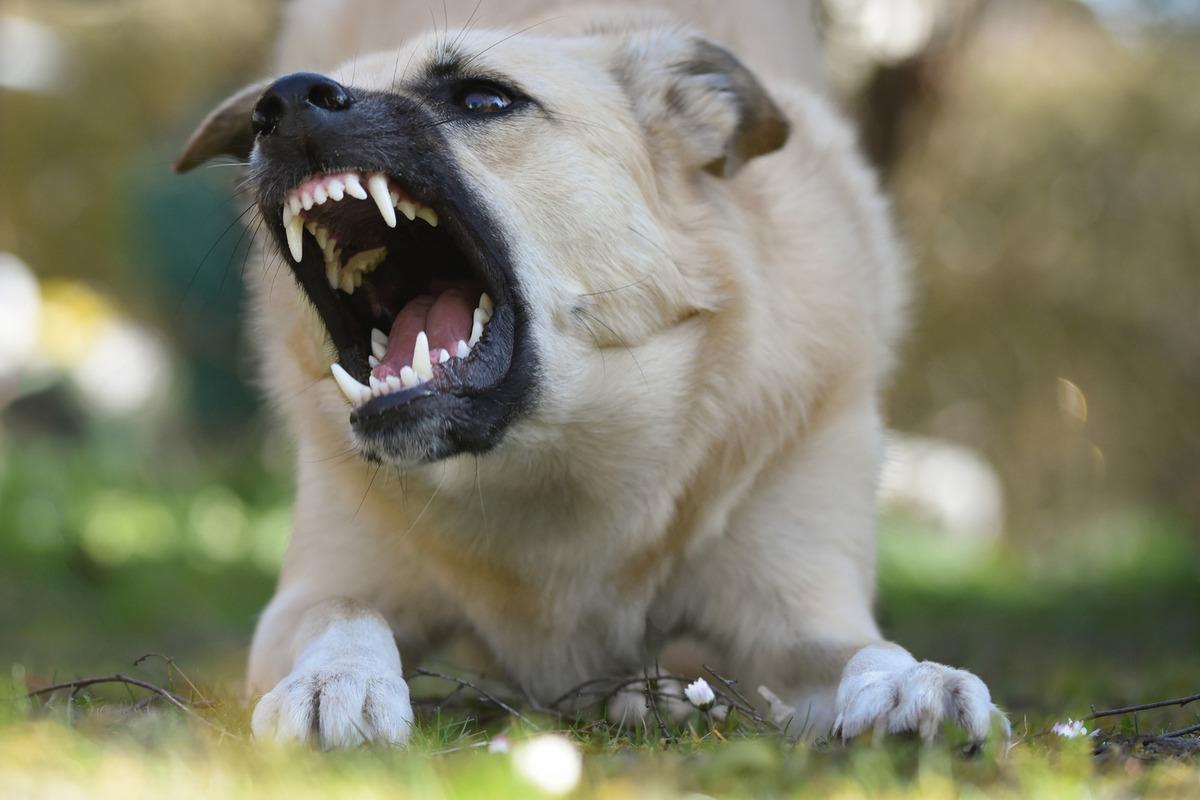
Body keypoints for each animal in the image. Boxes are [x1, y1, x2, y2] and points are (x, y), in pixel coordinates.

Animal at [177, 0, 1003, 753]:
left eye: (484, 99)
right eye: (266, 113)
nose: (281, 103)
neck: (548, 465)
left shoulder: (799, 609)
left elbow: (863, 648)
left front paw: (911, 682)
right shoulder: (315, 591)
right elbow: (345, 616)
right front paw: (335, 680)